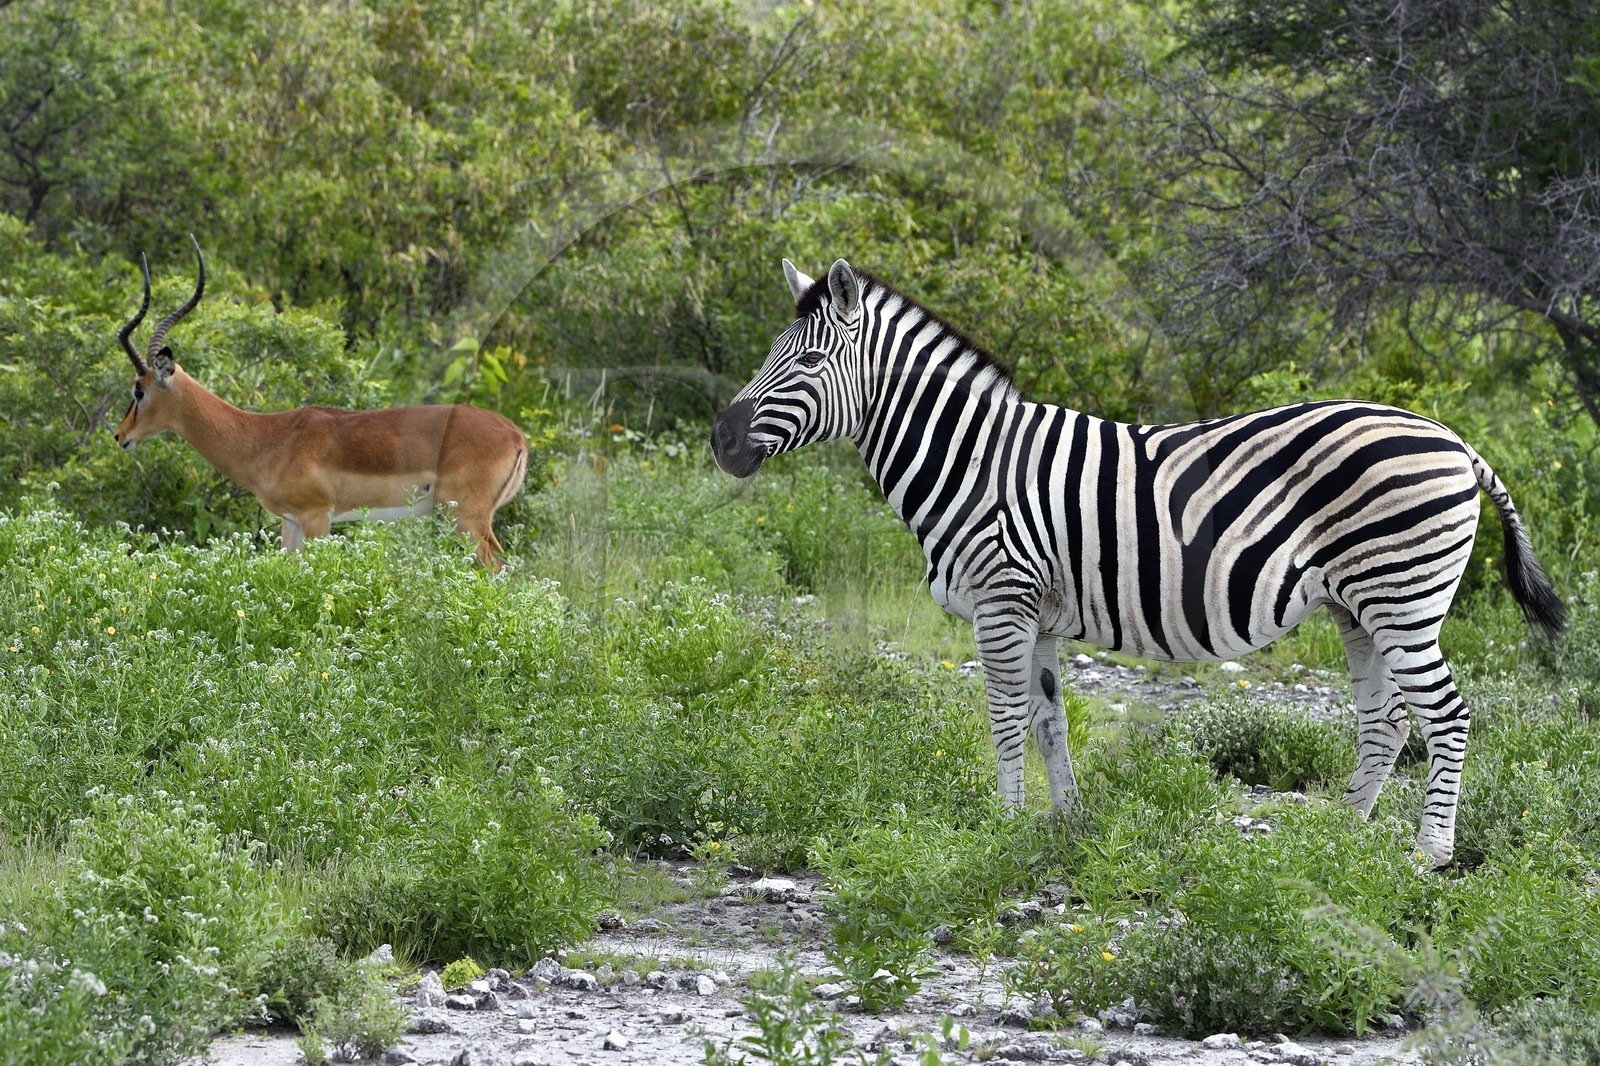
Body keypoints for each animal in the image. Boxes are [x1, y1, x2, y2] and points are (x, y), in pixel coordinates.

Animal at [114, 239, 529, 568]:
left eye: (139, 390)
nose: (120, 436)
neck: (266, 439)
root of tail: (517, 436)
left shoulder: (317, 518)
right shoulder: (291, 521)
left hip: (467, 518)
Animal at [710, 258, 1566, 868]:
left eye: (806, 363)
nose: (720, 440)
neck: (975, 459)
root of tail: (1455, 440)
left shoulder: (1001, 601)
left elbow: (1004, 717)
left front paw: (1001, 823)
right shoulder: (1038, 615)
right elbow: (1050, 719)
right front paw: (1064, 824)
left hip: (1402, 596)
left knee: (1445, 714)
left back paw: (1428, 854)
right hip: (1357, 607)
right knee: (1386, 719)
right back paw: (1338, 838)